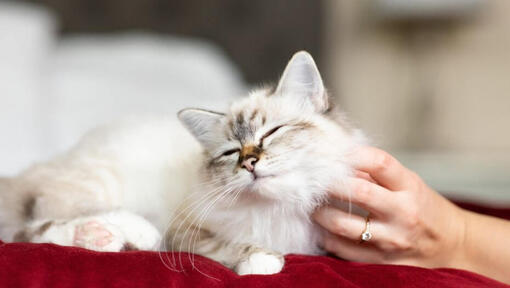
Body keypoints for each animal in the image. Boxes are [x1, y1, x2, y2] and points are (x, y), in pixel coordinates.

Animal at [0, 50, 366, 276]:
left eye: (270, 133)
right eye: (231, 152)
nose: (249, 163)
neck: (278, 207)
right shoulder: (187, 233)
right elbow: (230, 246)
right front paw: (262, 262)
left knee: (33, 230)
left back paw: (103, 239)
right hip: (100, 186)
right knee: (43, 220)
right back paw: (129, 233)